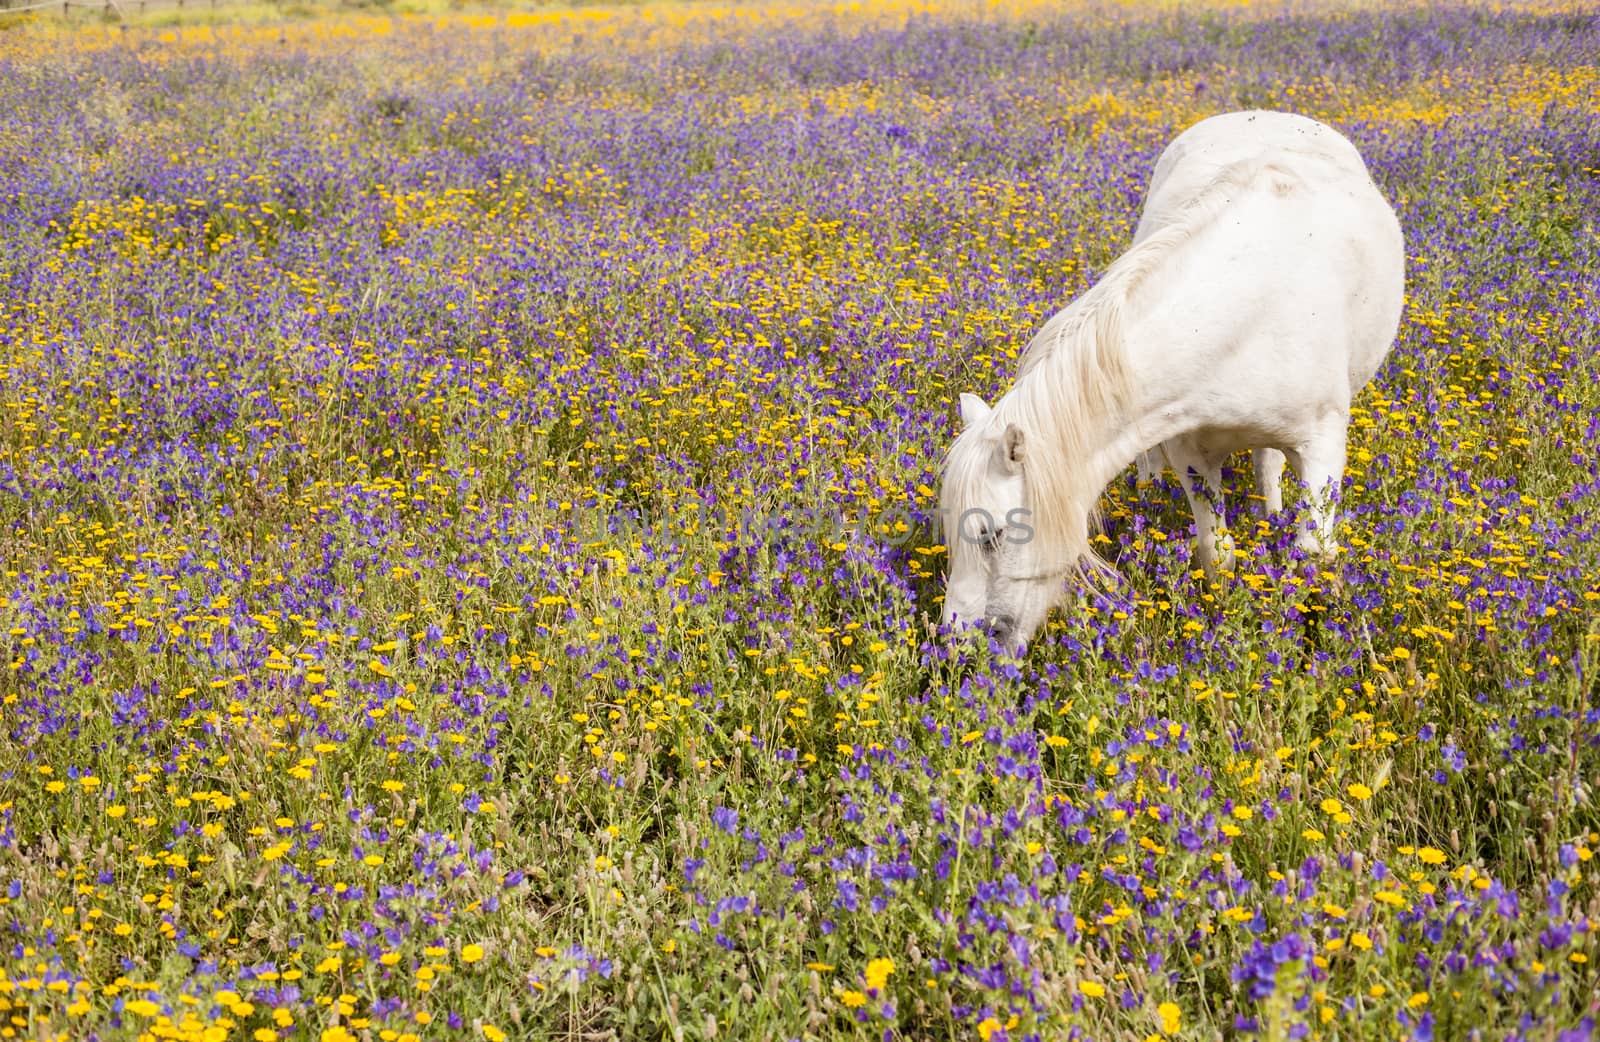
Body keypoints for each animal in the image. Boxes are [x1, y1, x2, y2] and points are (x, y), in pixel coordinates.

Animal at [940, 114, 1408, 653]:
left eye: (991, 535)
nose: (951, 643)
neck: (1240, 314)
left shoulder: (1322, 448)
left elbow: (1315, 555)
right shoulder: (1190, 452)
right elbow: (1217, 554)